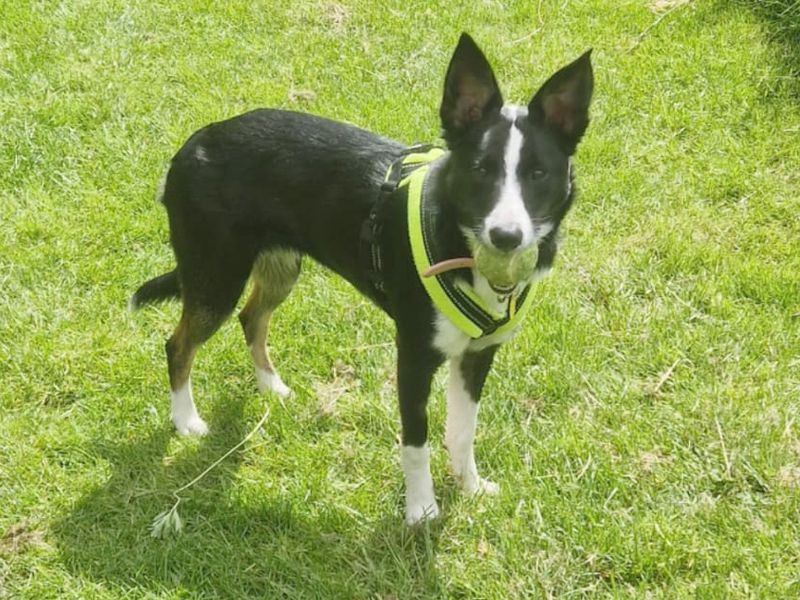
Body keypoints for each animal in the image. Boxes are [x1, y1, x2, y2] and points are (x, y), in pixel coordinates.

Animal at [131, 32, 592, 524]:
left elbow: (462, 431)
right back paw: (186, 420)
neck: (464, 248)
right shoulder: (413, 357)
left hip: (280, 267)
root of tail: (193, 143)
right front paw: (421, 510)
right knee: (178, 345)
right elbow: (417, 441)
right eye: (480, 169)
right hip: (215, 277)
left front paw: (469, 487)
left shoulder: (477, 355)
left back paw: (270, 386)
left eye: (538, 174)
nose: (506, 236)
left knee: (252, 318)